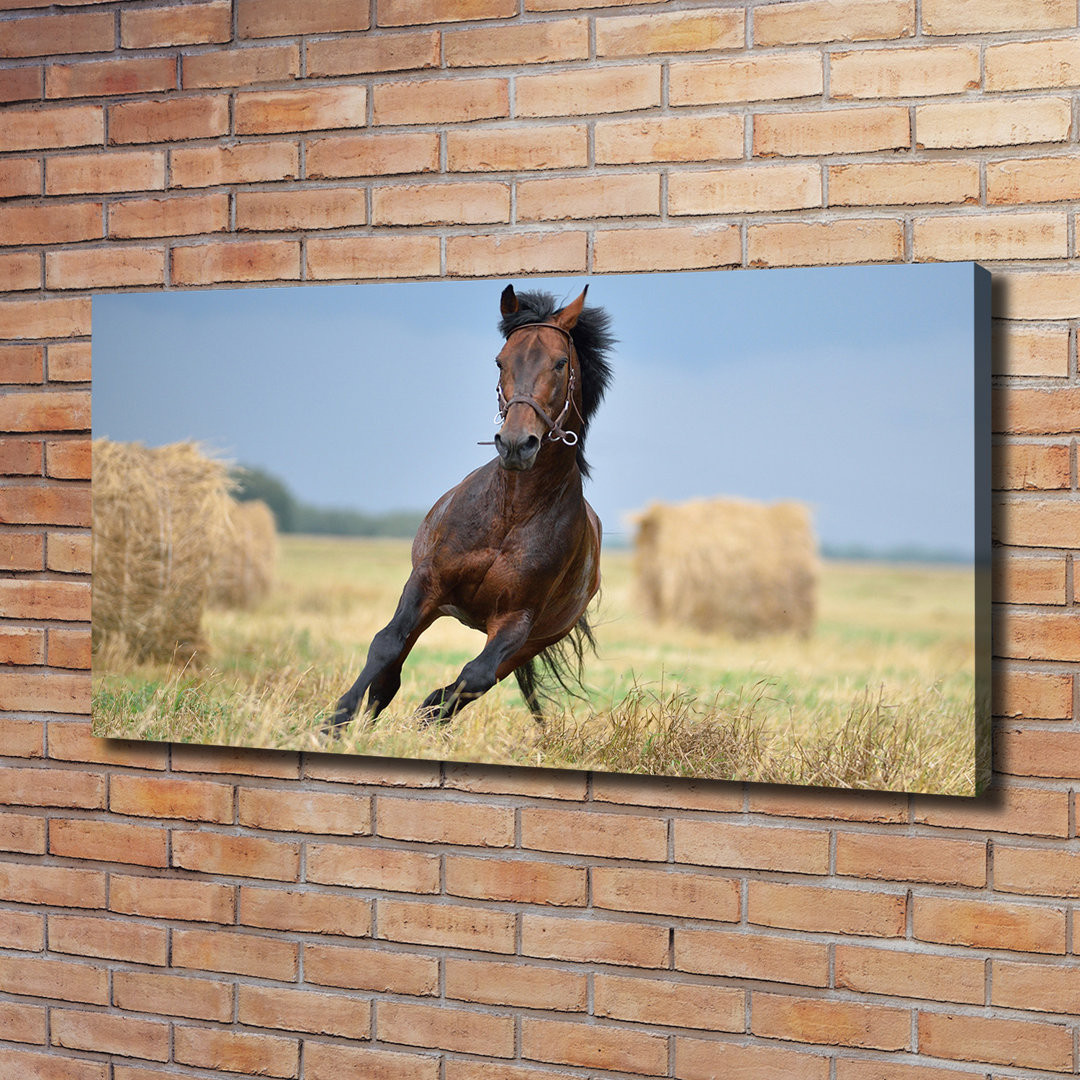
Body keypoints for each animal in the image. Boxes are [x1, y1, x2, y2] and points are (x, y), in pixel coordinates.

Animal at [328, 280, 613, 734]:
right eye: (500, 361)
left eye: (560, 363)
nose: (516, 444)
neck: (510, 513)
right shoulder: (426, 583)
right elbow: (386, 645)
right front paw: (334, 723)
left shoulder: (517, 620)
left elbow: (472, 677)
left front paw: (420, 719)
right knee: (395, 672)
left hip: (534, 641)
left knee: (473, 683)